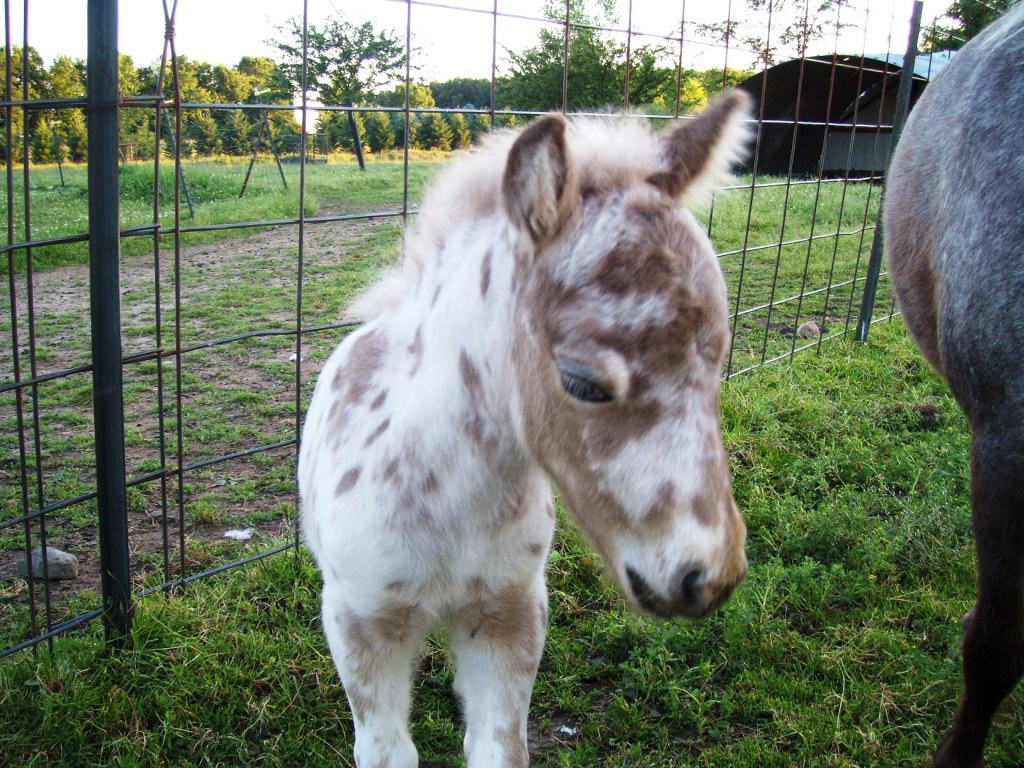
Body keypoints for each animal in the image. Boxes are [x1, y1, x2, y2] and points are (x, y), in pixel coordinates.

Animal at [298, 92, 751, 767]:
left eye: (719, 354)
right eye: (582, 382)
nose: (708, 578)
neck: (448, 498)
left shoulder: (510, 615)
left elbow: (498, 747)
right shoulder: (361, 626)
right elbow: (387, 752)